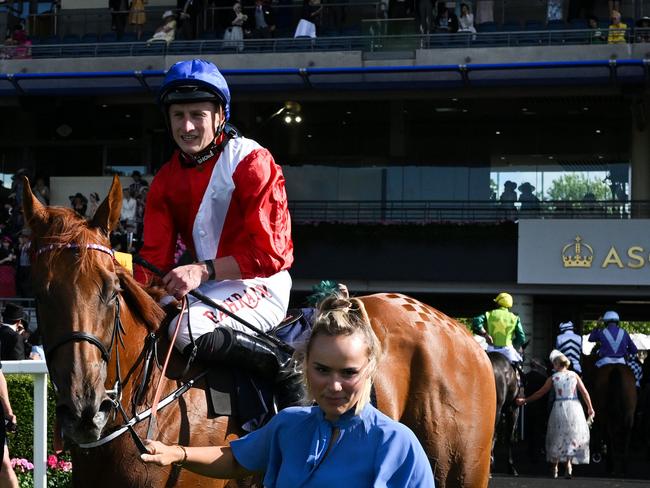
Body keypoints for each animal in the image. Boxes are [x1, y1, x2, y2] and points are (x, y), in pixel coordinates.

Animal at [22, 177, 494, 488]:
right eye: (39, 292)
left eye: (111, 289)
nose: (84, 412)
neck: (148, 403)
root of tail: (458, 331)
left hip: (462, 471)